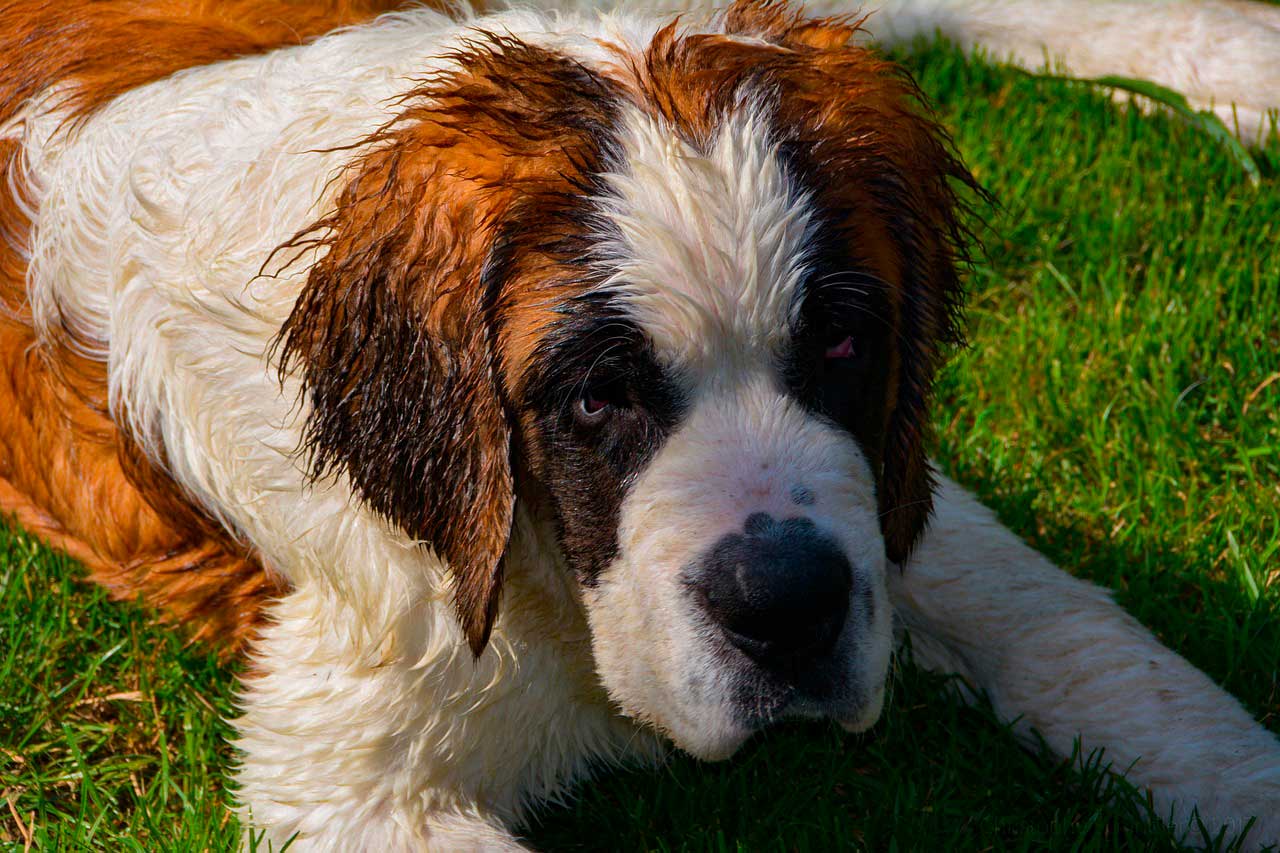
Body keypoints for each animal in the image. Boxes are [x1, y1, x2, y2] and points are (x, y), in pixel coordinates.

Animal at [2, 0, 1280, 845]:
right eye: (594, 395)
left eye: (841, 345)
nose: (786, 607)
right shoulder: (345, 768)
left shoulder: (883, 491)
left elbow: (1078, 642)